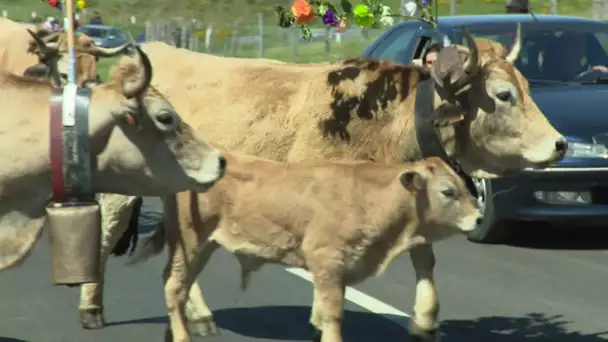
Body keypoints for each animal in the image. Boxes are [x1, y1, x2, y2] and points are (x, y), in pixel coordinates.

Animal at [127, 156, 480, 342]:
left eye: (465, 187)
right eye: (448, 191)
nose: (478, 218)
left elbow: (323, 313)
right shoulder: (326, 260)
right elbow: (333, 314)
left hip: (200, 246)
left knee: (178, 285)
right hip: (191, 242)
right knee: (175, 287)